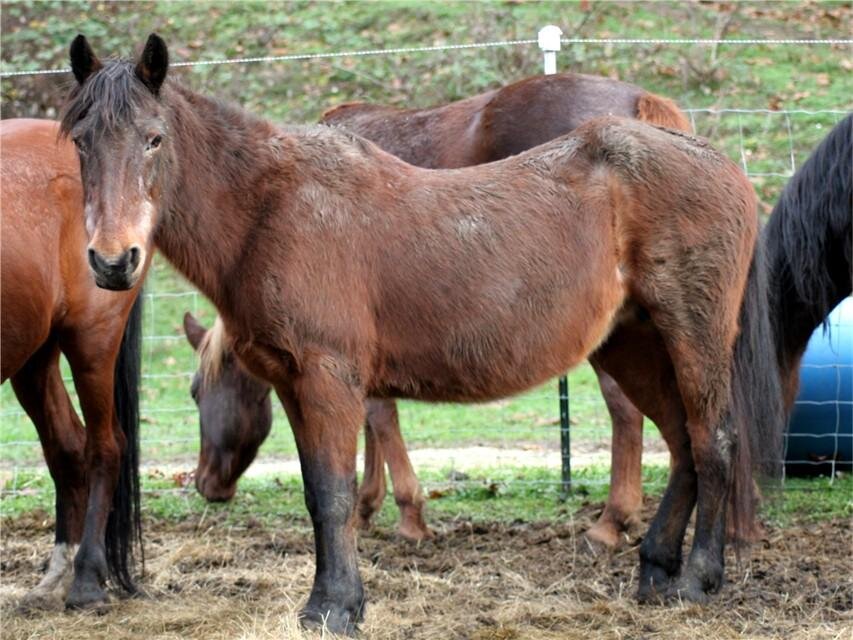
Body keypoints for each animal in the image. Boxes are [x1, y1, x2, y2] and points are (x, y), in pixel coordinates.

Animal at [0, 119, 146, 610]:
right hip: (34, 358)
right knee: (67, 447)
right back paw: (57, 575)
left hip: (92, 341)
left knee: (104, 446)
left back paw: (85, 581)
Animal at [187, 72, 692, 545]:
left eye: (195, 392)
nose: (206, 484)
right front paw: (367, 506)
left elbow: (380, 418)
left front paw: (409, 515)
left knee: (626, 411)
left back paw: (612, 522)